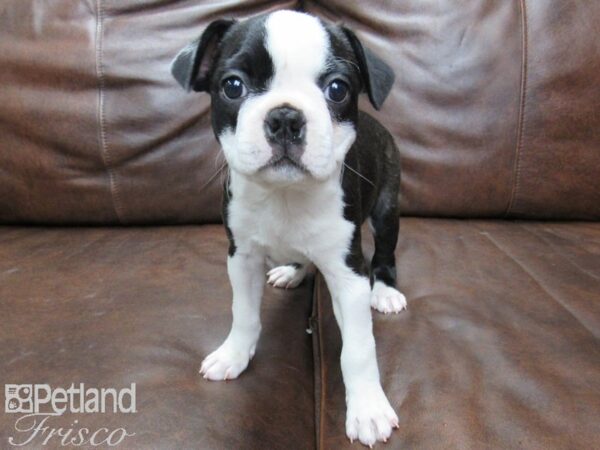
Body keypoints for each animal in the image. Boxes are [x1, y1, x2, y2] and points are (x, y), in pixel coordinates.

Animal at [172, 9, 408, 446]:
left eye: (337, 89)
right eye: (233, 86)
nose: (285, 116)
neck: (284, 196)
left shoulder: (349, 274)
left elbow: (358, 348)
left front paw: (368, 408)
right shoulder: (242, 257)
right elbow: (244, 313)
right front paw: (234, 354)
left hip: (387, 209)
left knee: (385, 253)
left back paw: (385, 291)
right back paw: (292, 271)